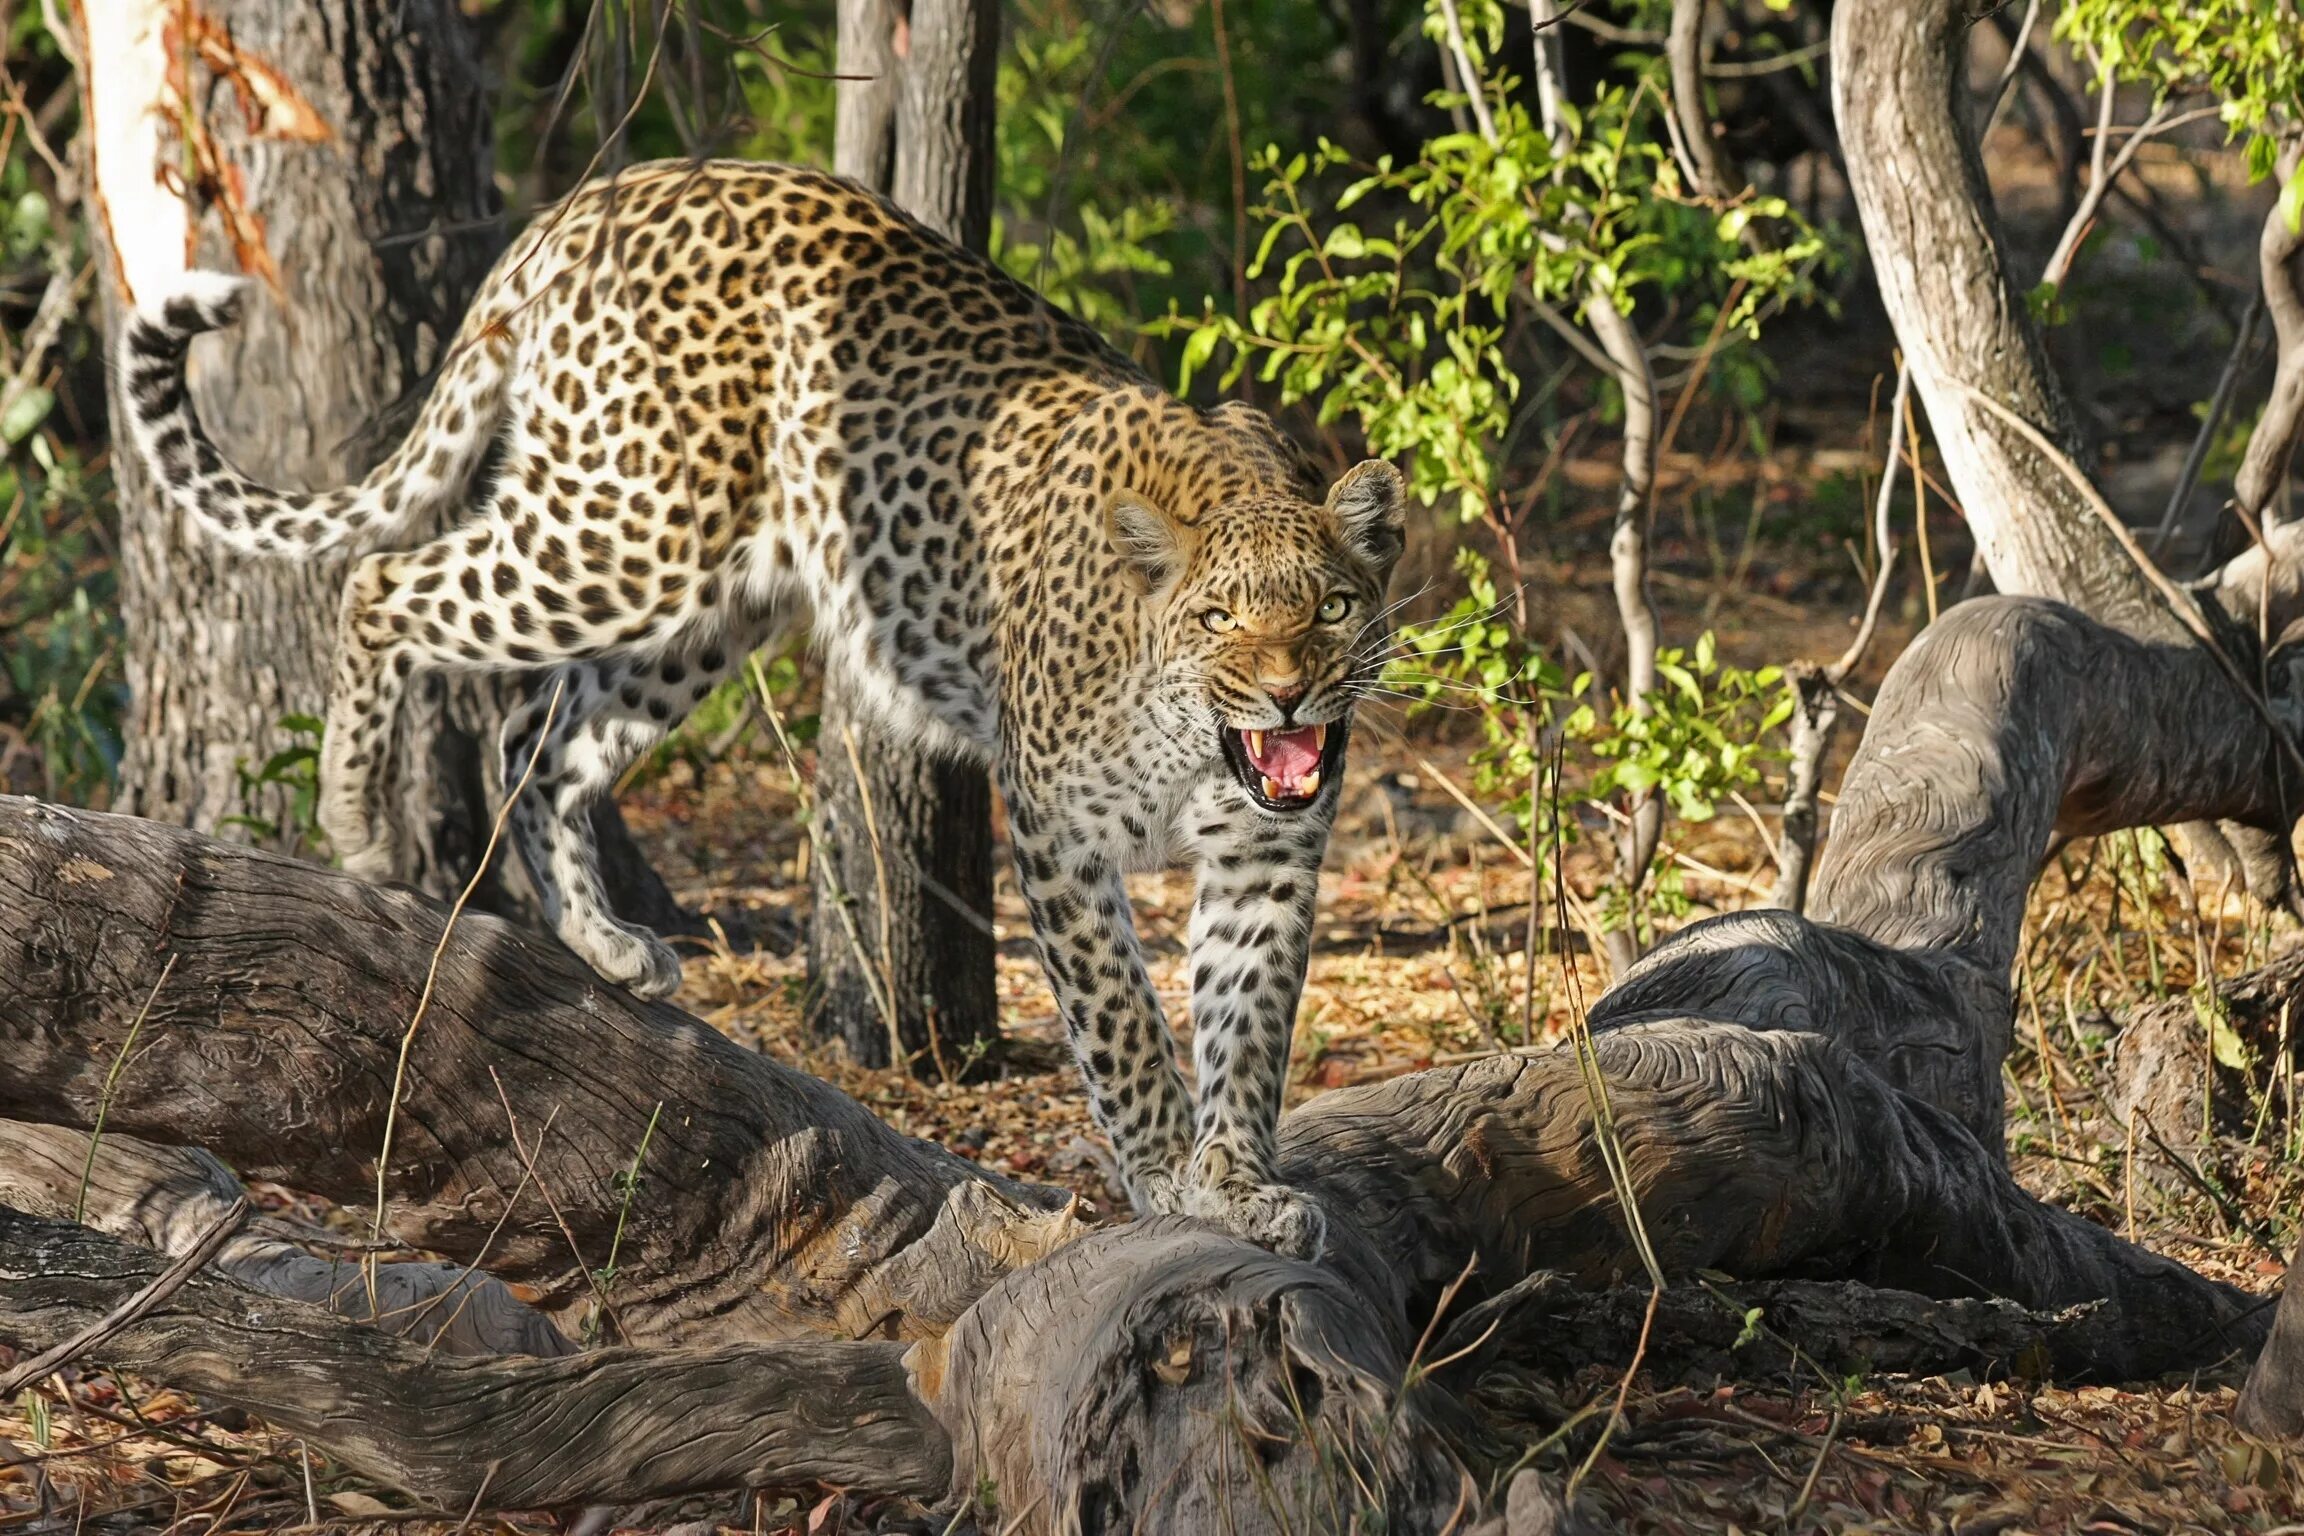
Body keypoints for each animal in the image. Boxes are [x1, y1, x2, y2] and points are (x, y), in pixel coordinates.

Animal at [121, 158, 1400, 1261]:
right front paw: (1168, 1177)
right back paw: (357, 821)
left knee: (537, 736)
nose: (1288, 690)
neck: (1198, 740)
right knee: (384, 583)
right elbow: (1125, 1024)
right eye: (1221, 618)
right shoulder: (1057, 831)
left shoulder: (1268, 858)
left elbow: (1249, 1028)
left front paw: (1238, 1185)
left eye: (1334, 607)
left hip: (707, 605)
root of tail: (593, 198)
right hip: (627, 532)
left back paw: (603, 941)